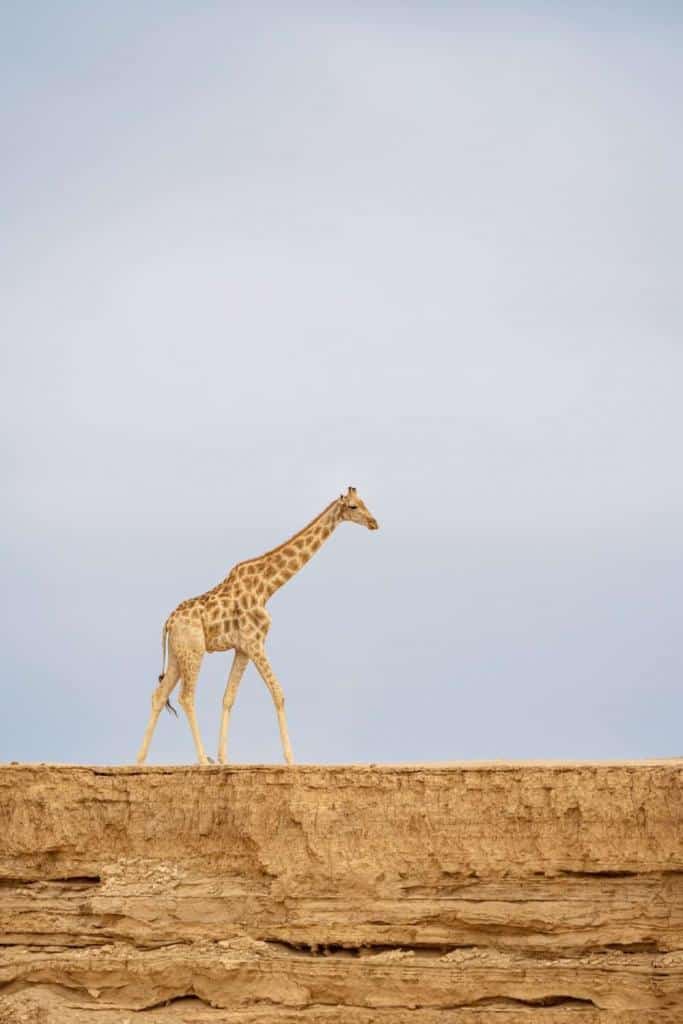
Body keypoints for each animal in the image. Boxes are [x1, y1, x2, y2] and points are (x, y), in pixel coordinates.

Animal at [135, 489, 376, 770]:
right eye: (353, 506)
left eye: (365, 503)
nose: (374, 523)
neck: (268, 587)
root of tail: (168, 623)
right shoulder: (255, 641)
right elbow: (278, 693)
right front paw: (290, 759)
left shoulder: (242, 647)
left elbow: (228, 698)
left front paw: (224, 758)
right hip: (194, 651)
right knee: (186, 696)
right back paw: (202, 760)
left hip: (177, 653)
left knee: (159, 695)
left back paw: (139, 762)